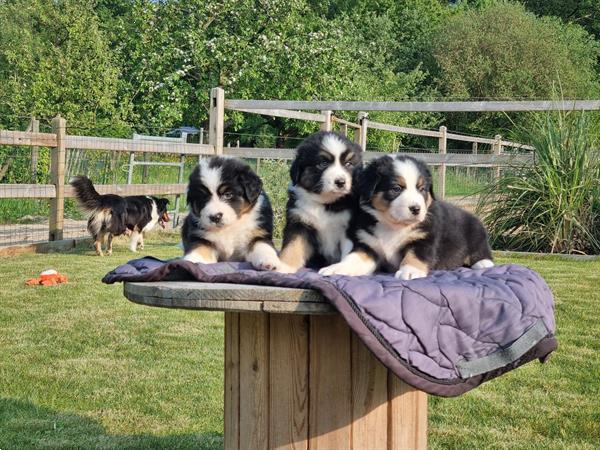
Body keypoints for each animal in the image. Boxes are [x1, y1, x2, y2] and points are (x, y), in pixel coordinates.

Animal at [278, 130, 364, 270]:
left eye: (348, 164)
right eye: (323, 163)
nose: (341, 182)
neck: (325, 203)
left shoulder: (349, 228)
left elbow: (348, 252)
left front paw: (340, 269)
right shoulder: (299, 222)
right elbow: (293, 247)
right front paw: (285, 267)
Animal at [318, 156, 492, 280]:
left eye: (422, 189)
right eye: (396, 188)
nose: (416, 209)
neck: (393, 226)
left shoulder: (424, 238)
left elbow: (415, 254)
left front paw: (410, 271)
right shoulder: (368, 245)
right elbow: (353, 259)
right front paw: (335, 268)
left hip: (476, 233)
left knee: (482, 252)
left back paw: (483, 264)